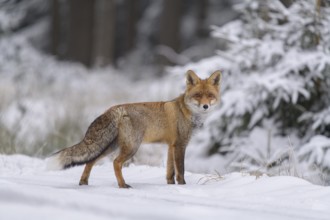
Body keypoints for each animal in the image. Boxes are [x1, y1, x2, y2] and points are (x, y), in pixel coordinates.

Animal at [47, 70, 222, 187]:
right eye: (198, 95)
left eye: (210, 96)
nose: (205, 106)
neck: (188, 113)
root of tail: (115, 108)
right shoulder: (180, 145)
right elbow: (181, 170)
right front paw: (183, 186)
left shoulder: (170, 146)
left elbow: (169, 171)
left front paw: (170, 186)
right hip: (131, 147)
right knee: (116, 163)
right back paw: (122, 185)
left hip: (110, 147)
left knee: (90, 161)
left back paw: (84, 182)